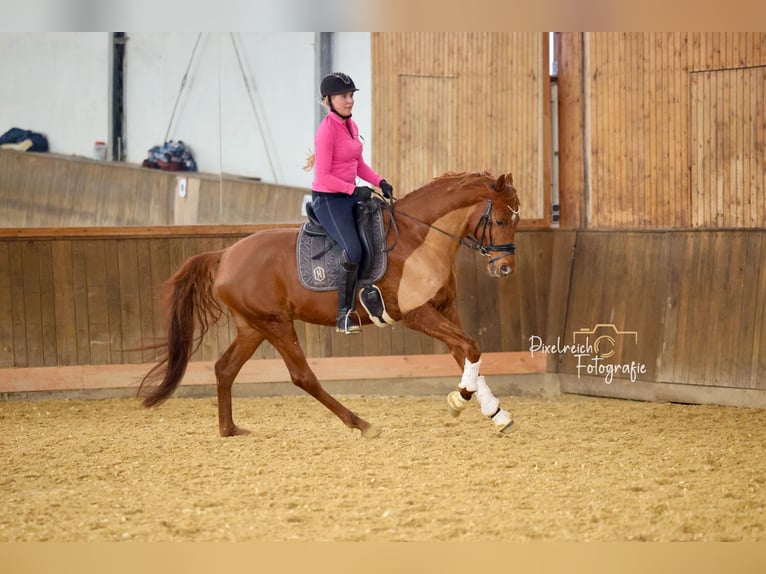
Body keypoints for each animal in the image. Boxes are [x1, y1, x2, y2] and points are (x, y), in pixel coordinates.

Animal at [138, 173, 520, 438]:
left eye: (516, 220)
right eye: (500, 220)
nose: (505, 269)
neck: (418, 239)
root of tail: (225, 254)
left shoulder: (445, 309)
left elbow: (468, 353)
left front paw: (496, 414)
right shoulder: (418, 315)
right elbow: (471, 347)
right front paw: (460, 400)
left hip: (252, 327)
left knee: (224, 369)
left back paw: (229, 429)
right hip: (276, 324)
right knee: (302, 377)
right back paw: (362, 424)